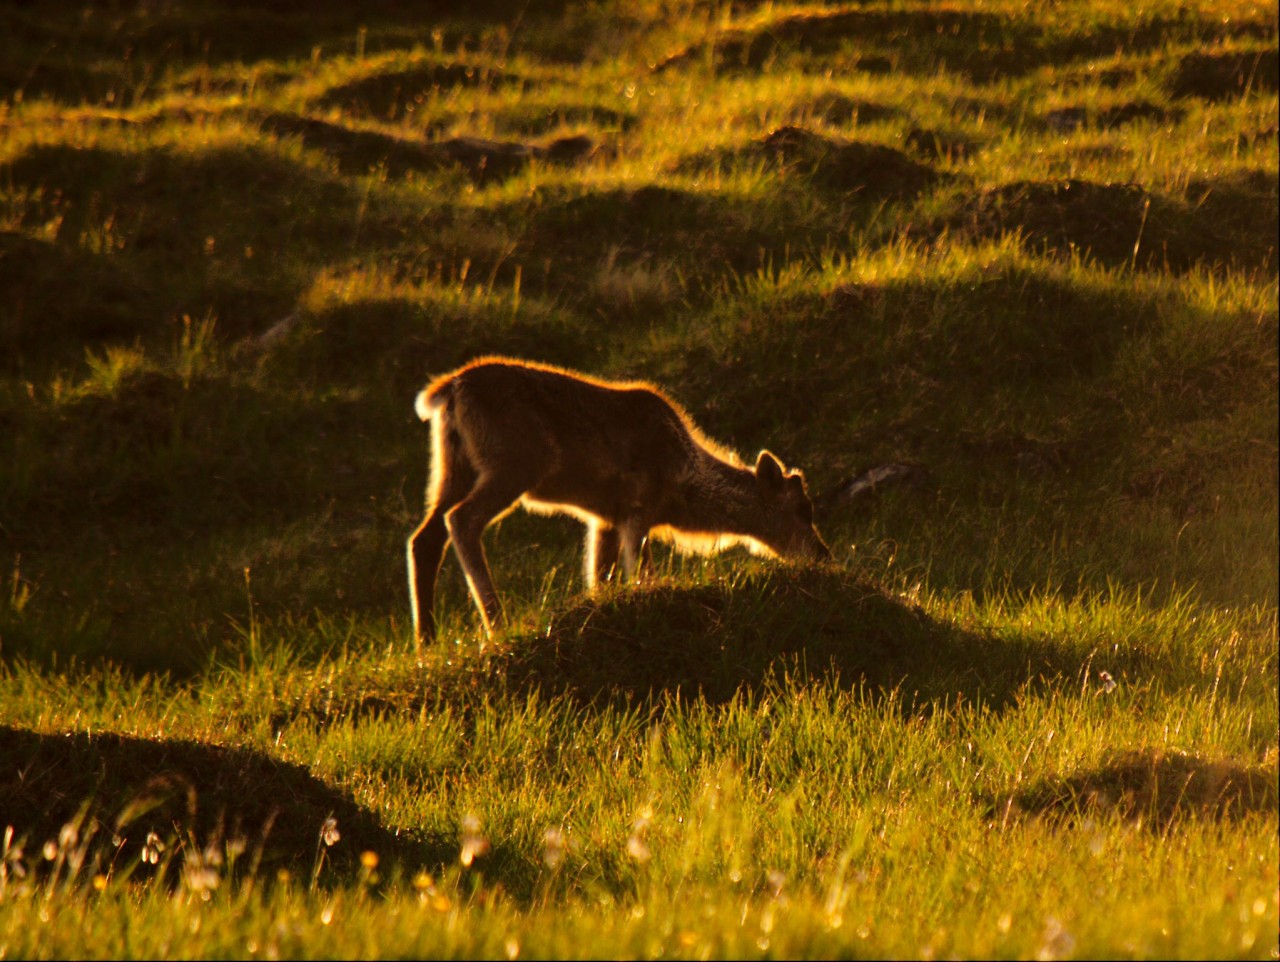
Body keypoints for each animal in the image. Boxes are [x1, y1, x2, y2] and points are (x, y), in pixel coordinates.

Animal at [404, 358, 834, 642]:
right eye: (803, 509)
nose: (822, 553)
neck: (685, 486)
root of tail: (449, 389)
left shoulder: (604, 519)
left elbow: (598, 577)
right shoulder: (636, 511)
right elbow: (642, 574)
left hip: (453, 468)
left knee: (424, 537)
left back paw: (426, 640)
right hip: (511, 466)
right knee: (461, 520)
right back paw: (496, 621)